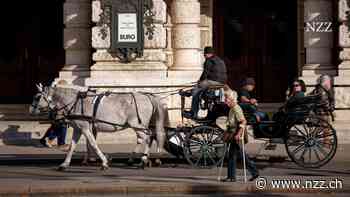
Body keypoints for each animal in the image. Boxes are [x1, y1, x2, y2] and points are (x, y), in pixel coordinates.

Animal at [28, 84, 168, 170]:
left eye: (37, 97)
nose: (30, 110)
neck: (76, 102)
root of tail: (148, 96)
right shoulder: (78, 129)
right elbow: (72, 146)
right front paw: (64, 164)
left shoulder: (85, 128)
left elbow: (93, 144)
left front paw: (104, 162)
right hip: (139, 126)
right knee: (146, 137)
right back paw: (139, 159)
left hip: (137, 125)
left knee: (147, 137)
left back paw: (144, 159)